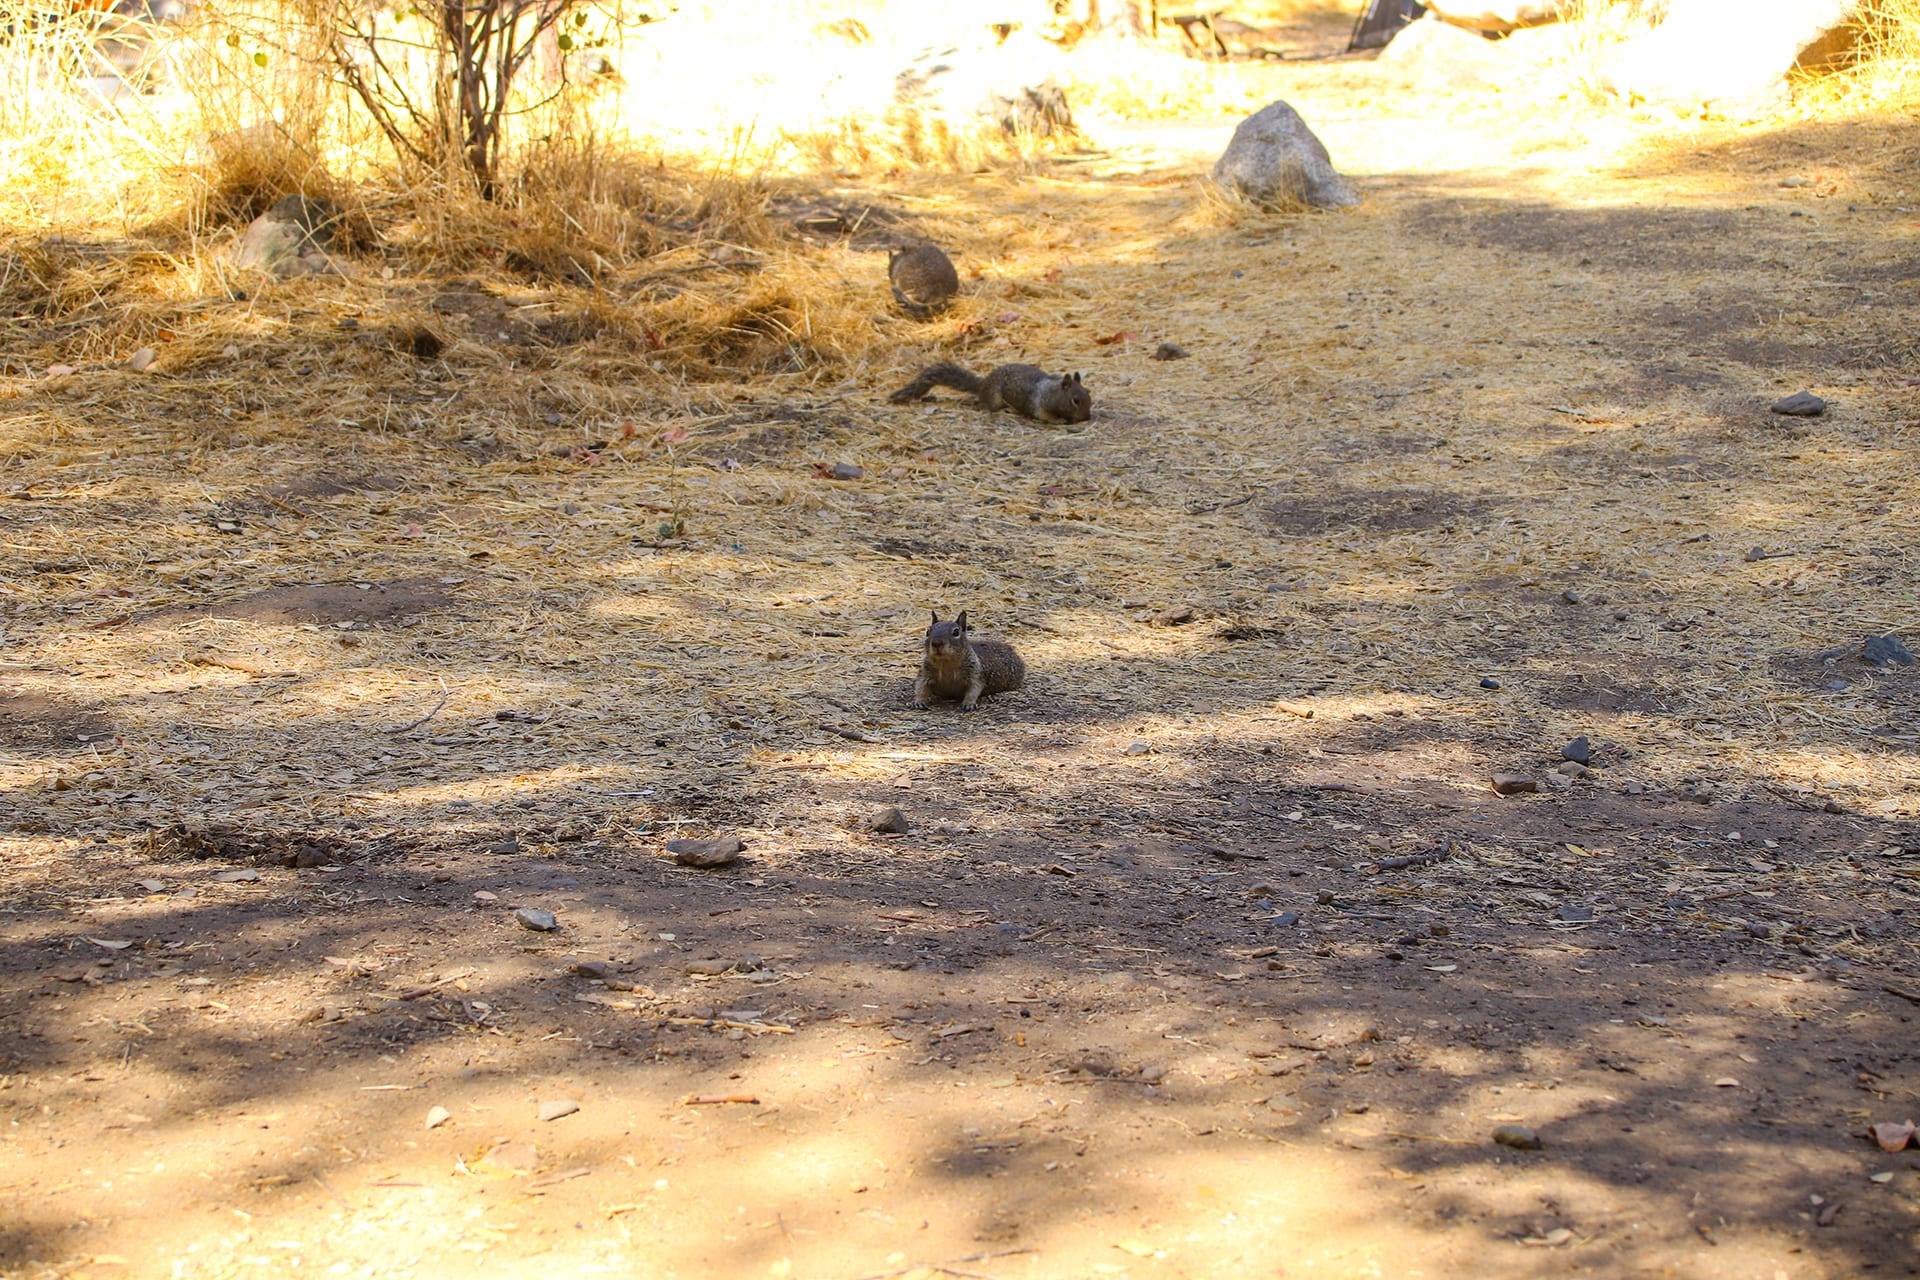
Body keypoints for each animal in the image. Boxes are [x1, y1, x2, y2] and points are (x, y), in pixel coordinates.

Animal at [889, 362, 1092, 424]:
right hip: (994, 398)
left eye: (1089, 394)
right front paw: (1060, 420)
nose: (1087, 417)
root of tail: (983, 384)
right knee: (987, 406)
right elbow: (1045, 417)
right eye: (1075, 400)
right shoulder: (1037, 405)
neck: (1050, 391)